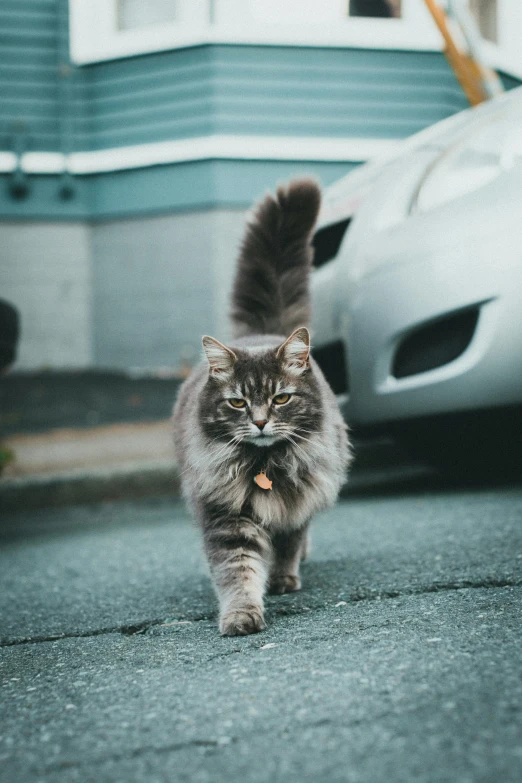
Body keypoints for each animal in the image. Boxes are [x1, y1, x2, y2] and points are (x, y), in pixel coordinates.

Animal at [174, 179, 350, 636]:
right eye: (237, 402)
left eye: (280, 398)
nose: (259, 422)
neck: (265, 465)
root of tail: (260, 332)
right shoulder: (227, 517)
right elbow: (238, 572)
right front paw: (241, 615)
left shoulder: (296, 501)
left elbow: (288, 542)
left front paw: (284, 579)